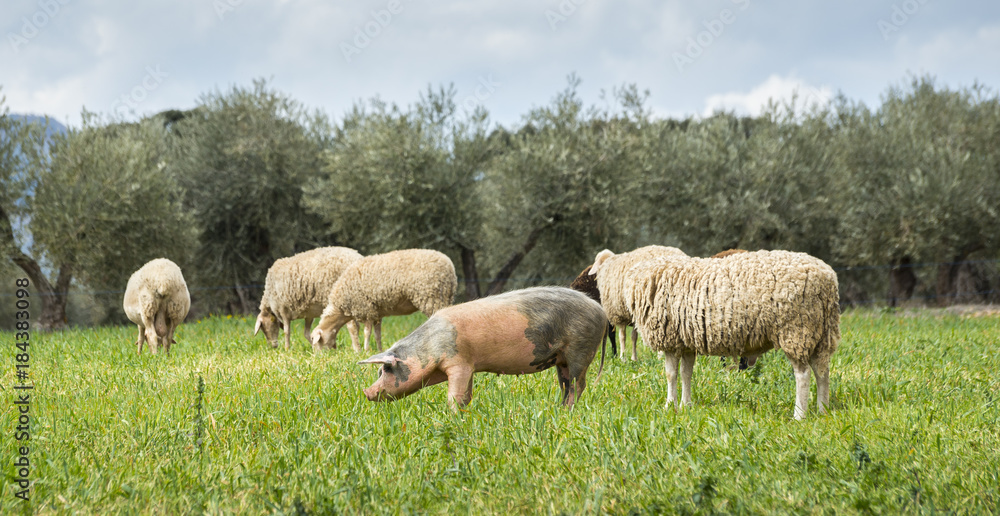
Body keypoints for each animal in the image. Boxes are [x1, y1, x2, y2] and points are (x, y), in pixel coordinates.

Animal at [310, 248, 458, 352]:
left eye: (315, 341)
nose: (317, 357)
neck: (340, 310)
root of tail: (450, 266)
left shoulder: (366, 308)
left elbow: (367, 333)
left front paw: (366, 350)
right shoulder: (376, 313)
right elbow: (377, 334)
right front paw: (380, 350)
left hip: (432, 298)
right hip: (444, 297)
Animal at [360, 284, 608, 410]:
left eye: (385, 369)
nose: (366, 392)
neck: (430, 348)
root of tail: (601, 311)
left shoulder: (458, 362)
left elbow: (455, 395)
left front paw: (452, 416)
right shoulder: (469, 366)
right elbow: (467, 395)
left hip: (580, 349)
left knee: (578, 384)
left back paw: (568, 411)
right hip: (561, 359)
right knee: (566, 385)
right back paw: (559, 410)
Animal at [628, 250, 840, 420]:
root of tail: (828, 279)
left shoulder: (670, 339)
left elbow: (670, 375)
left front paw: (669, 405)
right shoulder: (686, 341)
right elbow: (686, 374)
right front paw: (685, 405)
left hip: (796, 330)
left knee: (803, 375)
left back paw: (799, 415)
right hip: (819, 333)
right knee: (822, 372)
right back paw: (823, 410)